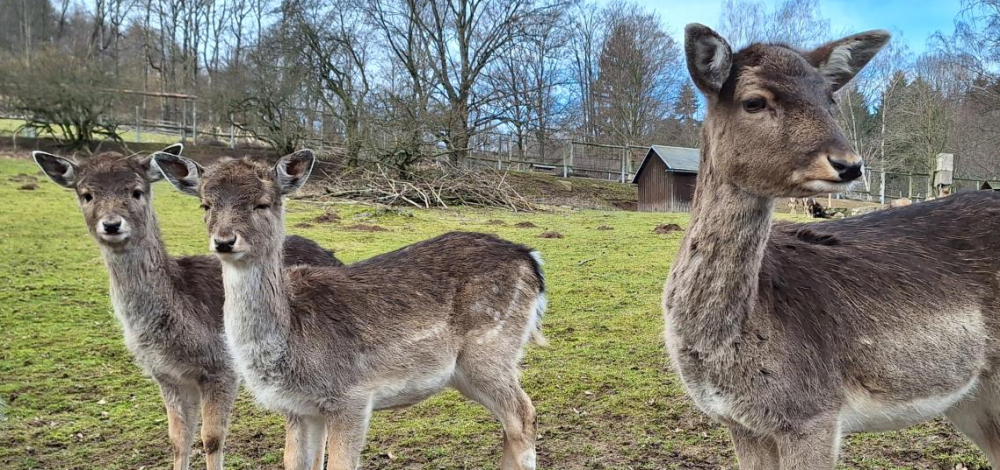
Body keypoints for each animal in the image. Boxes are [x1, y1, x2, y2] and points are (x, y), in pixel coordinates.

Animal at [32, 144, 344, 470]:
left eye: (136, 191)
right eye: (86, 194)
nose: (112, 224)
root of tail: (333, 256)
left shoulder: (222, 368)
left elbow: (212, 438)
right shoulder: (166, 375)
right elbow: (178, 438)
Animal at [155, 151, 548, 470]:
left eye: (262, 203)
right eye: (206, 204)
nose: (224, 241)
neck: (291, 341)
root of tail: (531, 260)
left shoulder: (353, 397)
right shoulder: (299, 409)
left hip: (490, 351)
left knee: (524, 415)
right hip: (465, 372)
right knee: (510, 424)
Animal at [664, 23, 1000, 470]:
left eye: (830, 100)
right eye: (754, 101)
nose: (849, 164)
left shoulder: (814, 413)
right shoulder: (740, 422)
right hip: (972, 399)